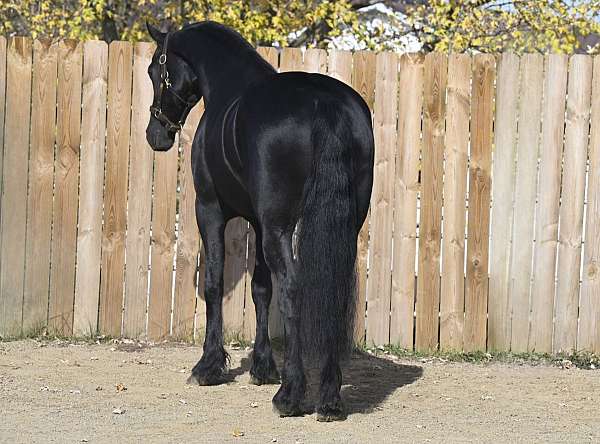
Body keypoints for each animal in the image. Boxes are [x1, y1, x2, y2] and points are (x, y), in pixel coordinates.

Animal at [145, 21, 372, 424]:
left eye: (156, 71)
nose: (156, 134)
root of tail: (325, 104)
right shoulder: (258, 220)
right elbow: (261, 289)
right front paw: (263, 367)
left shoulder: (210, 210)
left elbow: (215, 283)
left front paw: (208, 366)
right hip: (342, 225)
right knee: (332, 289)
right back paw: (329, 399)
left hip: (277, 226)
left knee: (294, 288)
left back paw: (290, 396)